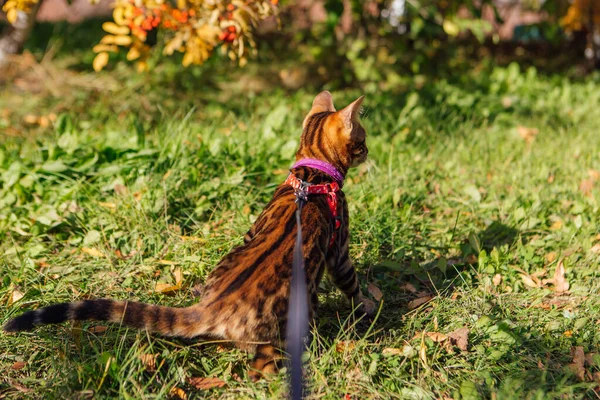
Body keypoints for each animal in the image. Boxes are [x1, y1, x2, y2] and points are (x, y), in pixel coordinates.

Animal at [2, 91, 372, 382]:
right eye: (363, 139)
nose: (369, 151)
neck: (313, 173)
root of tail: (214, 306)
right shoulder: (339, 250)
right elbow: (351, 282)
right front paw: (369, 306)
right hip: (291, 319)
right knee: (261, 368)